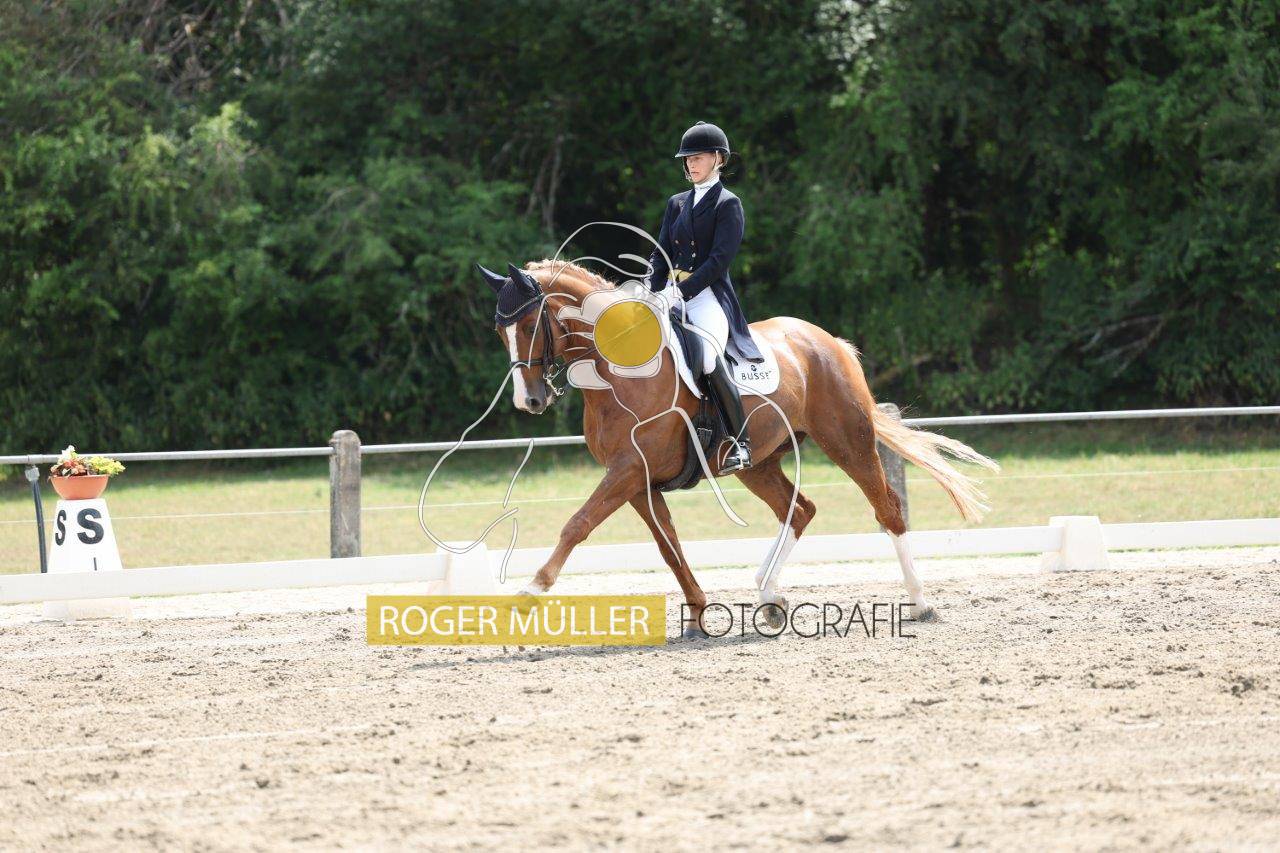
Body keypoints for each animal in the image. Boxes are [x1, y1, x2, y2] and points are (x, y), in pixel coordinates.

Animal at [482, 259, 998, 638]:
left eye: (530, 325)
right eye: (500, 332)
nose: (529, 401)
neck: (619, 372)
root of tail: (828, 341)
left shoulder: (628, 470)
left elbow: (577, 524)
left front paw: (529, 592)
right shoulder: (637, 480)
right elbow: (669, 546)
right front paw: (697, 614)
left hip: (846, 441)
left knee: (887, 509)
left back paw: (920, 602)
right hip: (758, 464)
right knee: (800, 510)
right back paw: (769, 598)